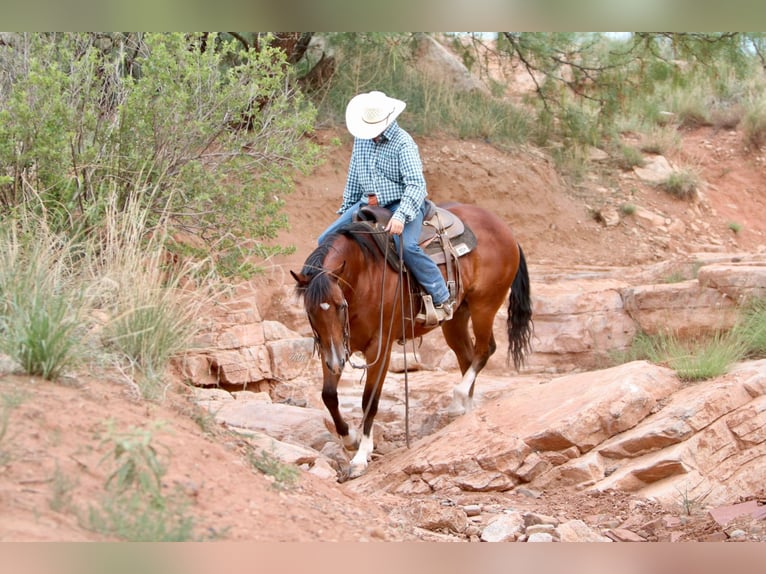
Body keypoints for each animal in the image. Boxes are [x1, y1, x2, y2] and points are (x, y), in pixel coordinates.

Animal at [292, 204, 536, 482]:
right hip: (456, 317)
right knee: (467, 356)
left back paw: (457, 400)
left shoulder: (379, 348)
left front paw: (360, 458)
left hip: (484, 305)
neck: (364, 273)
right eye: (310, 311)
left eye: (339, 305)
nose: (336, 361)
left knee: (485, 350)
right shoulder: (335, 346)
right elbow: (329, 395)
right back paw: (465, 410)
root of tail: (507, 231)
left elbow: (369, 401)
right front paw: (350, 439)